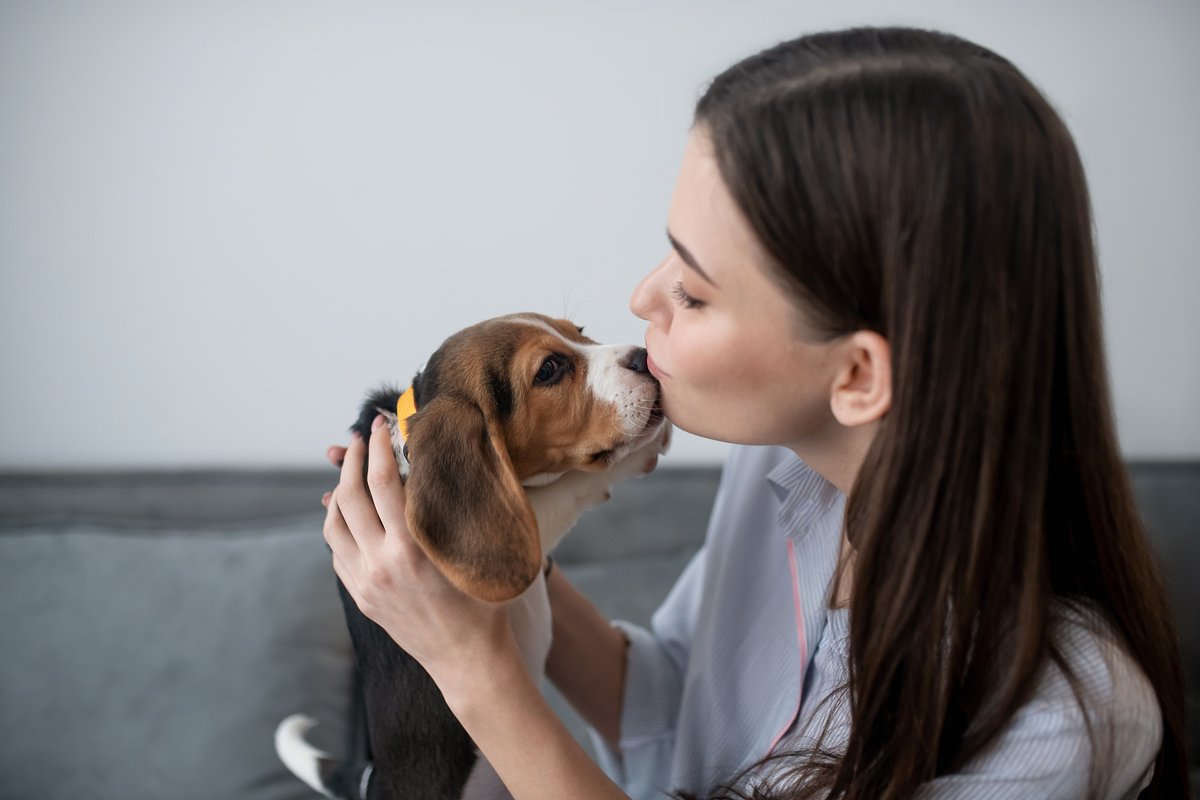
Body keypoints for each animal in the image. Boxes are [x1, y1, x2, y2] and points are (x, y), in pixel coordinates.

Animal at [274, 311, 672, 800]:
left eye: (578, 331)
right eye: (549, 369)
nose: (645, 356)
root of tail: (370, 780)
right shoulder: (531, 517)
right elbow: (570, 486)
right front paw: (641, 449)